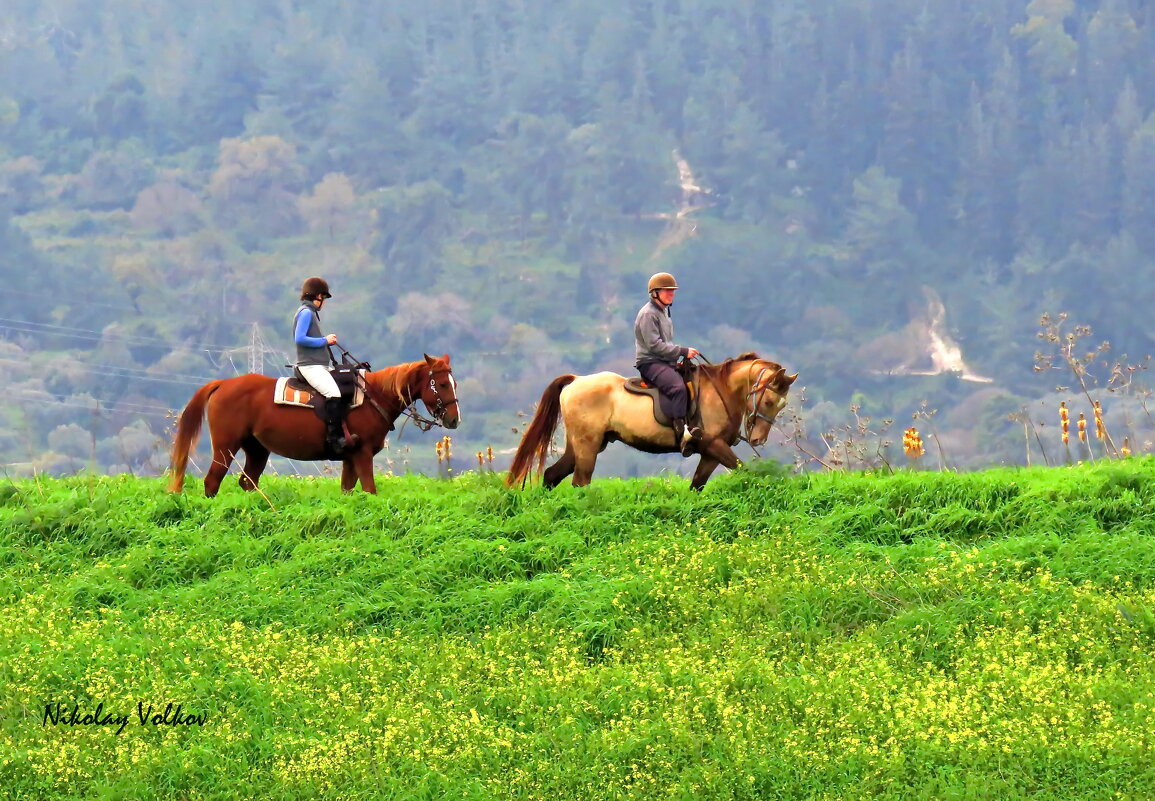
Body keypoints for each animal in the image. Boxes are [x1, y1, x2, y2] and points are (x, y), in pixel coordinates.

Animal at [168, 355, 457, 496]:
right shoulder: (362, 454)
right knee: (212, 481)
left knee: (248, 481)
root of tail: (223, 384)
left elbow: (348, 490)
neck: (372, 396)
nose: (454, 420)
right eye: (442, 384)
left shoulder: (350, 457)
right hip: (226, 446)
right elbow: (370, 489)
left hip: (257, 449)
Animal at [505, 355, 794, 491]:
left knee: (553, 475)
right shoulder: (714, 445)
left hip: (582, 444)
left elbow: (697, 486)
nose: (758, 439)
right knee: (580, 482)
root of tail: (576, 380)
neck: (720, 391)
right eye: (769, 401)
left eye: (782, 405)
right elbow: (746, 471)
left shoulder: (711, 453)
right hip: (588, 446)